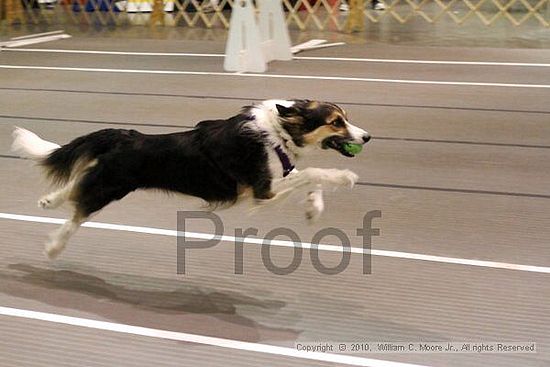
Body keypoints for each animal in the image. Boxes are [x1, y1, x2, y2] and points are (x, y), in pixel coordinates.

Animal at [11, 98, 370, 258]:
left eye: (346, 119)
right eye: (336, 122)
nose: (366, 137)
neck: (277, 132)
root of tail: (126, 136)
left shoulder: (270, 187)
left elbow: (310, 179)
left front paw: (313, 208)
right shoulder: (262, 189)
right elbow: (313, 172)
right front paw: (345, 177)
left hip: (108, 178)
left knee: (78, 184)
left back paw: (49, 200)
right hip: (111, 186)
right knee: (77, 212)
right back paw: (55, 246)